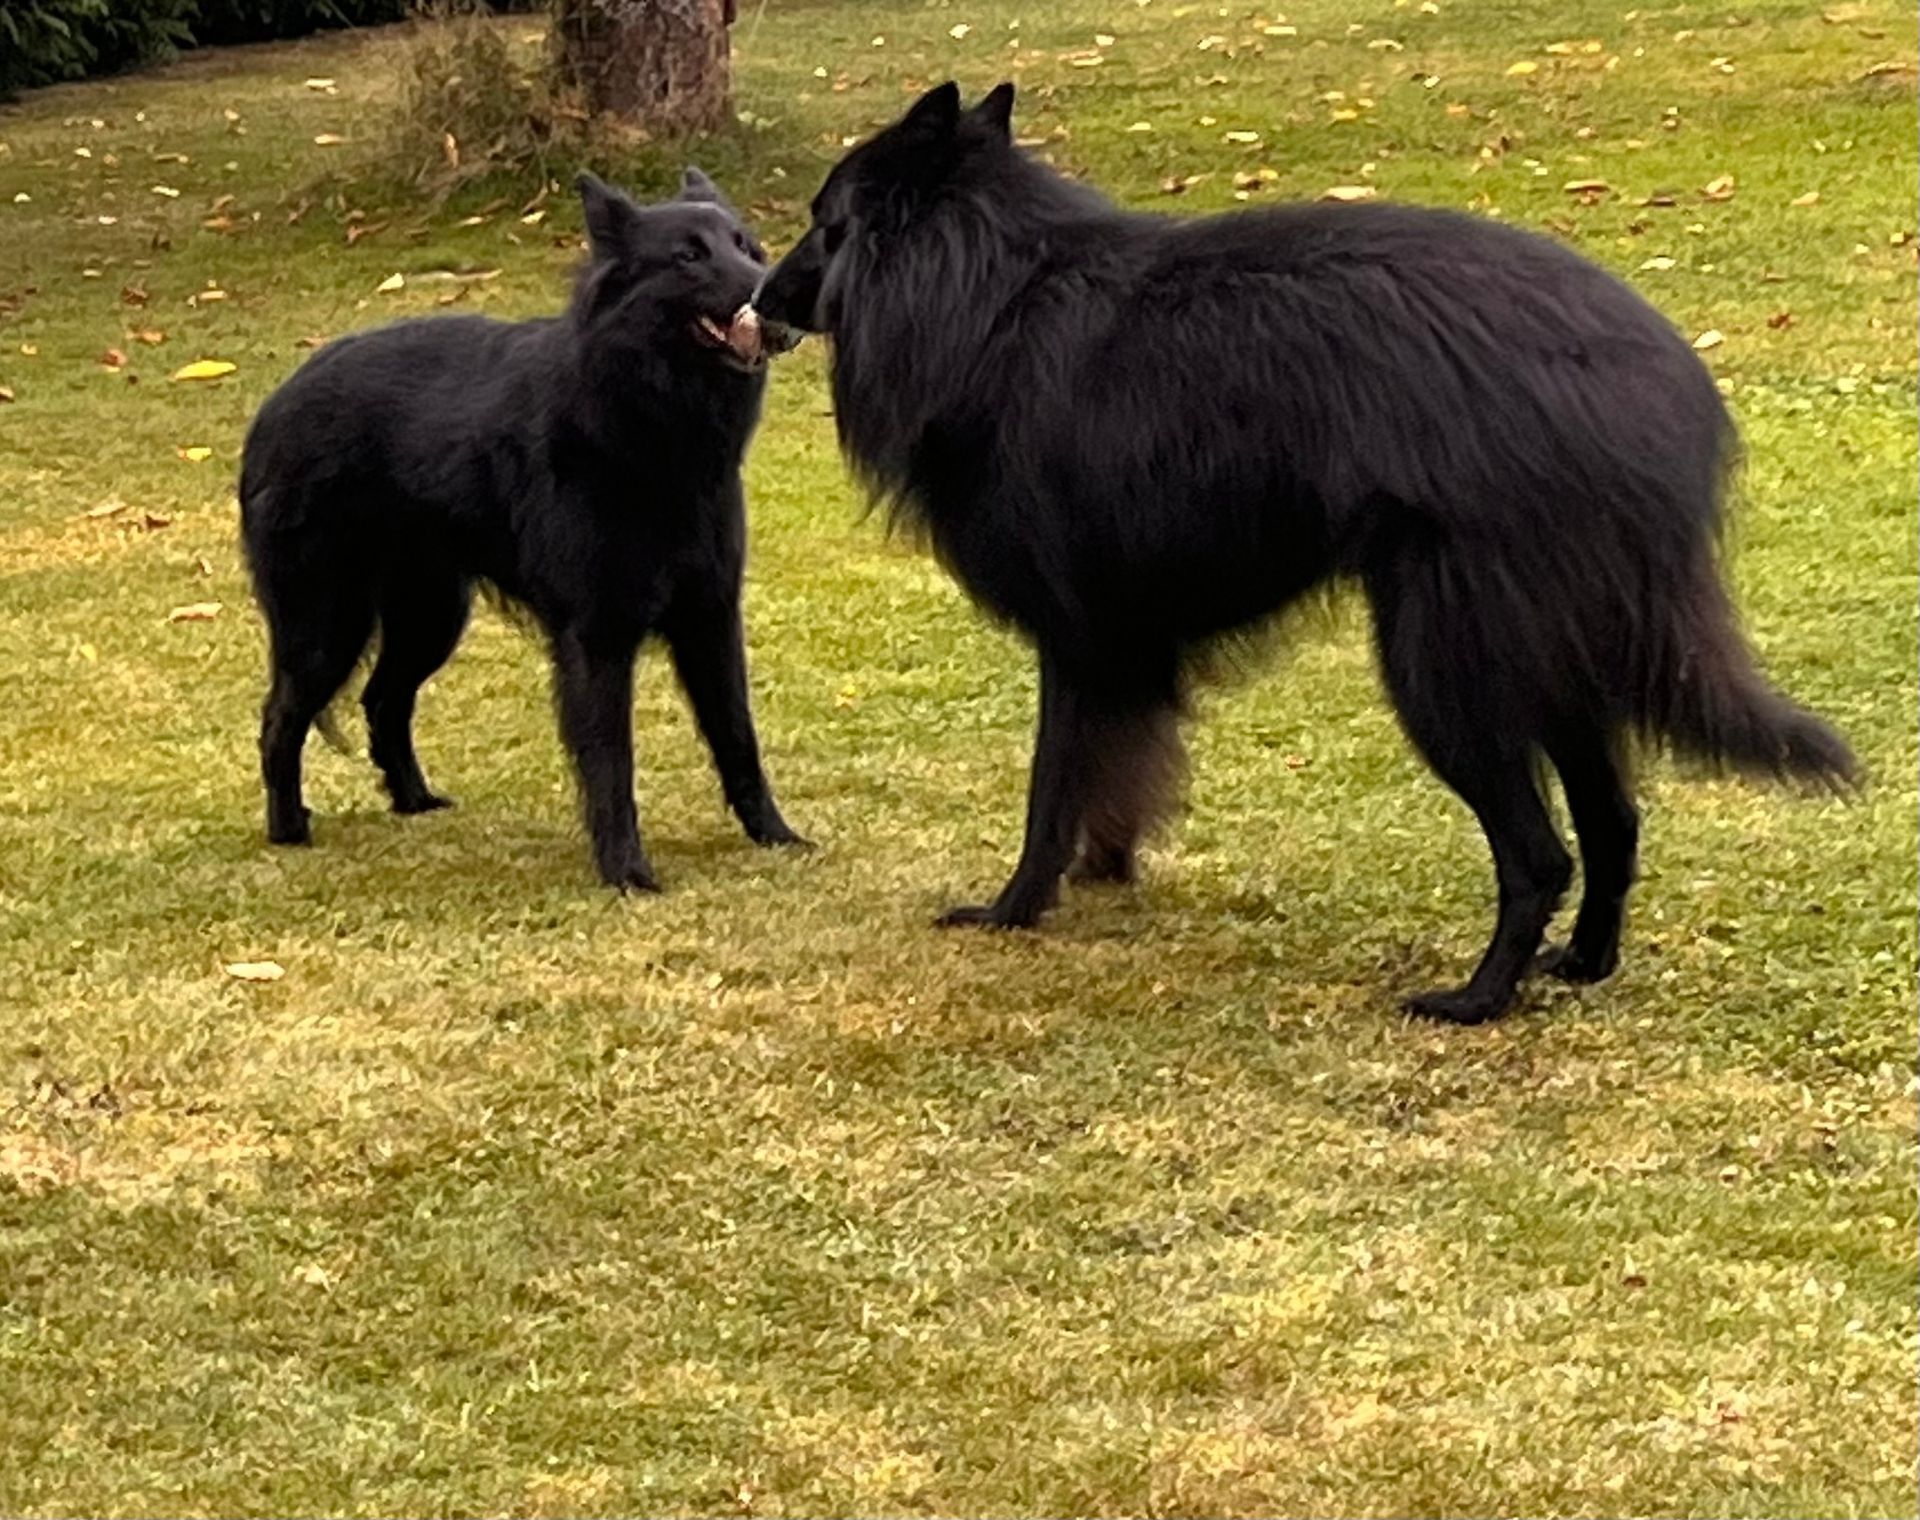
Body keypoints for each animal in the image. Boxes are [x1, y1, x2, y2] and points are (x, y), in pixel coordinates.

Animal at [240, 168, 805, 889]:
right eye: (688, 256)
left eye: (747, 247)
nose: (773, 293)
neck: (642, 422)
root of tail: (275, 404)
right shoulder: (596, 638)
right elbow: (610, 761)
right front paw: (626, 871)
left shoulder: (710, 620)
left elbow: (738, 737)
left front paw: (775, 834)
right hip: (327, 626)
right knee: (281, 718)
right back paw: (288, 828)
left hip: (429, 618)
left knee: (383, 700)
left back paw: (414, 800)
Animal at [751, 81, 1855, 1023]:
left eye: (823, 221)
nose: (758, 299)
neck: (991, 294)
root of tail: (1660, 390)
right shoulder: (1126, 647)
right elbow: (1119, 776)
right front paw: (1104, 876)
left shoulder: (1078, 638)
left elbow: (1050, 788)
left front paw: (1016, 907)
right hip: (1552, 665)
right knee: (1616, 821)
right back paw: (1582, 963)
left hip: (1444, 668)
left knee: (1541, 852)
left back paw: (1477, 999)